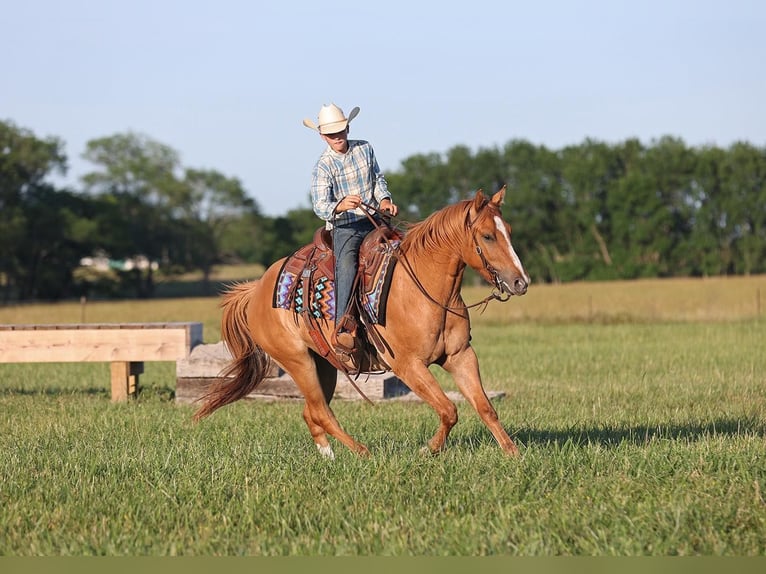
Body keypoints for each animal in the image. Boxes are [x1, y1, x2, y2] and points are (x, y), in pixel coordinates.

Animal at [193, 187, 530, 458]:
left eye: (510, 230)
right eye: (487, 235)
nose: (520, 282)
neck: (424, 290)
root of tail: (257, 289)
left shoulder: (460, 356)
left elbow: (485, 408)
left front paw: (512, 453)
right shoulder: (408, 366)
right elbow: (449, 410)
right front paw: (428, 450)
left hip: (324, 365)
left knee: (311, 412)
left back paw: (328, 455)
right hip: (297, 360)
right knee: (322, 412)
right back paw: (361, 452)